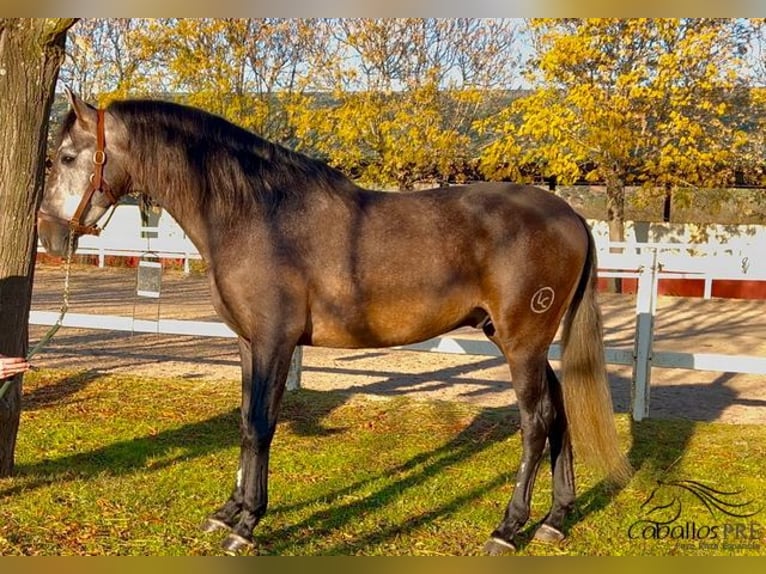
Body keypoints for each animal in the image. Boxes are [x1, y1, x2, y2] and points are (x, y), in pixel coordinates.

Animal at [36, 91, 632, 560]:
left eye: (65, 156)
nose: (49, 236)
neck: (258, 215)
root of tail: (571, 216)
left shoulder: (275, 343)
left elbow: (262, 425)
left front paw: (247, 524)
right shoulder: (250, 344)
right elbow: (246, 424)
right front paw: (229, 511)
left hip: (522, 344)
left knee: (535, 423)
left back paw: (508, 529)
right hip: (522, 343)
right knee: (558, 414)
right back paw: (556, 520)